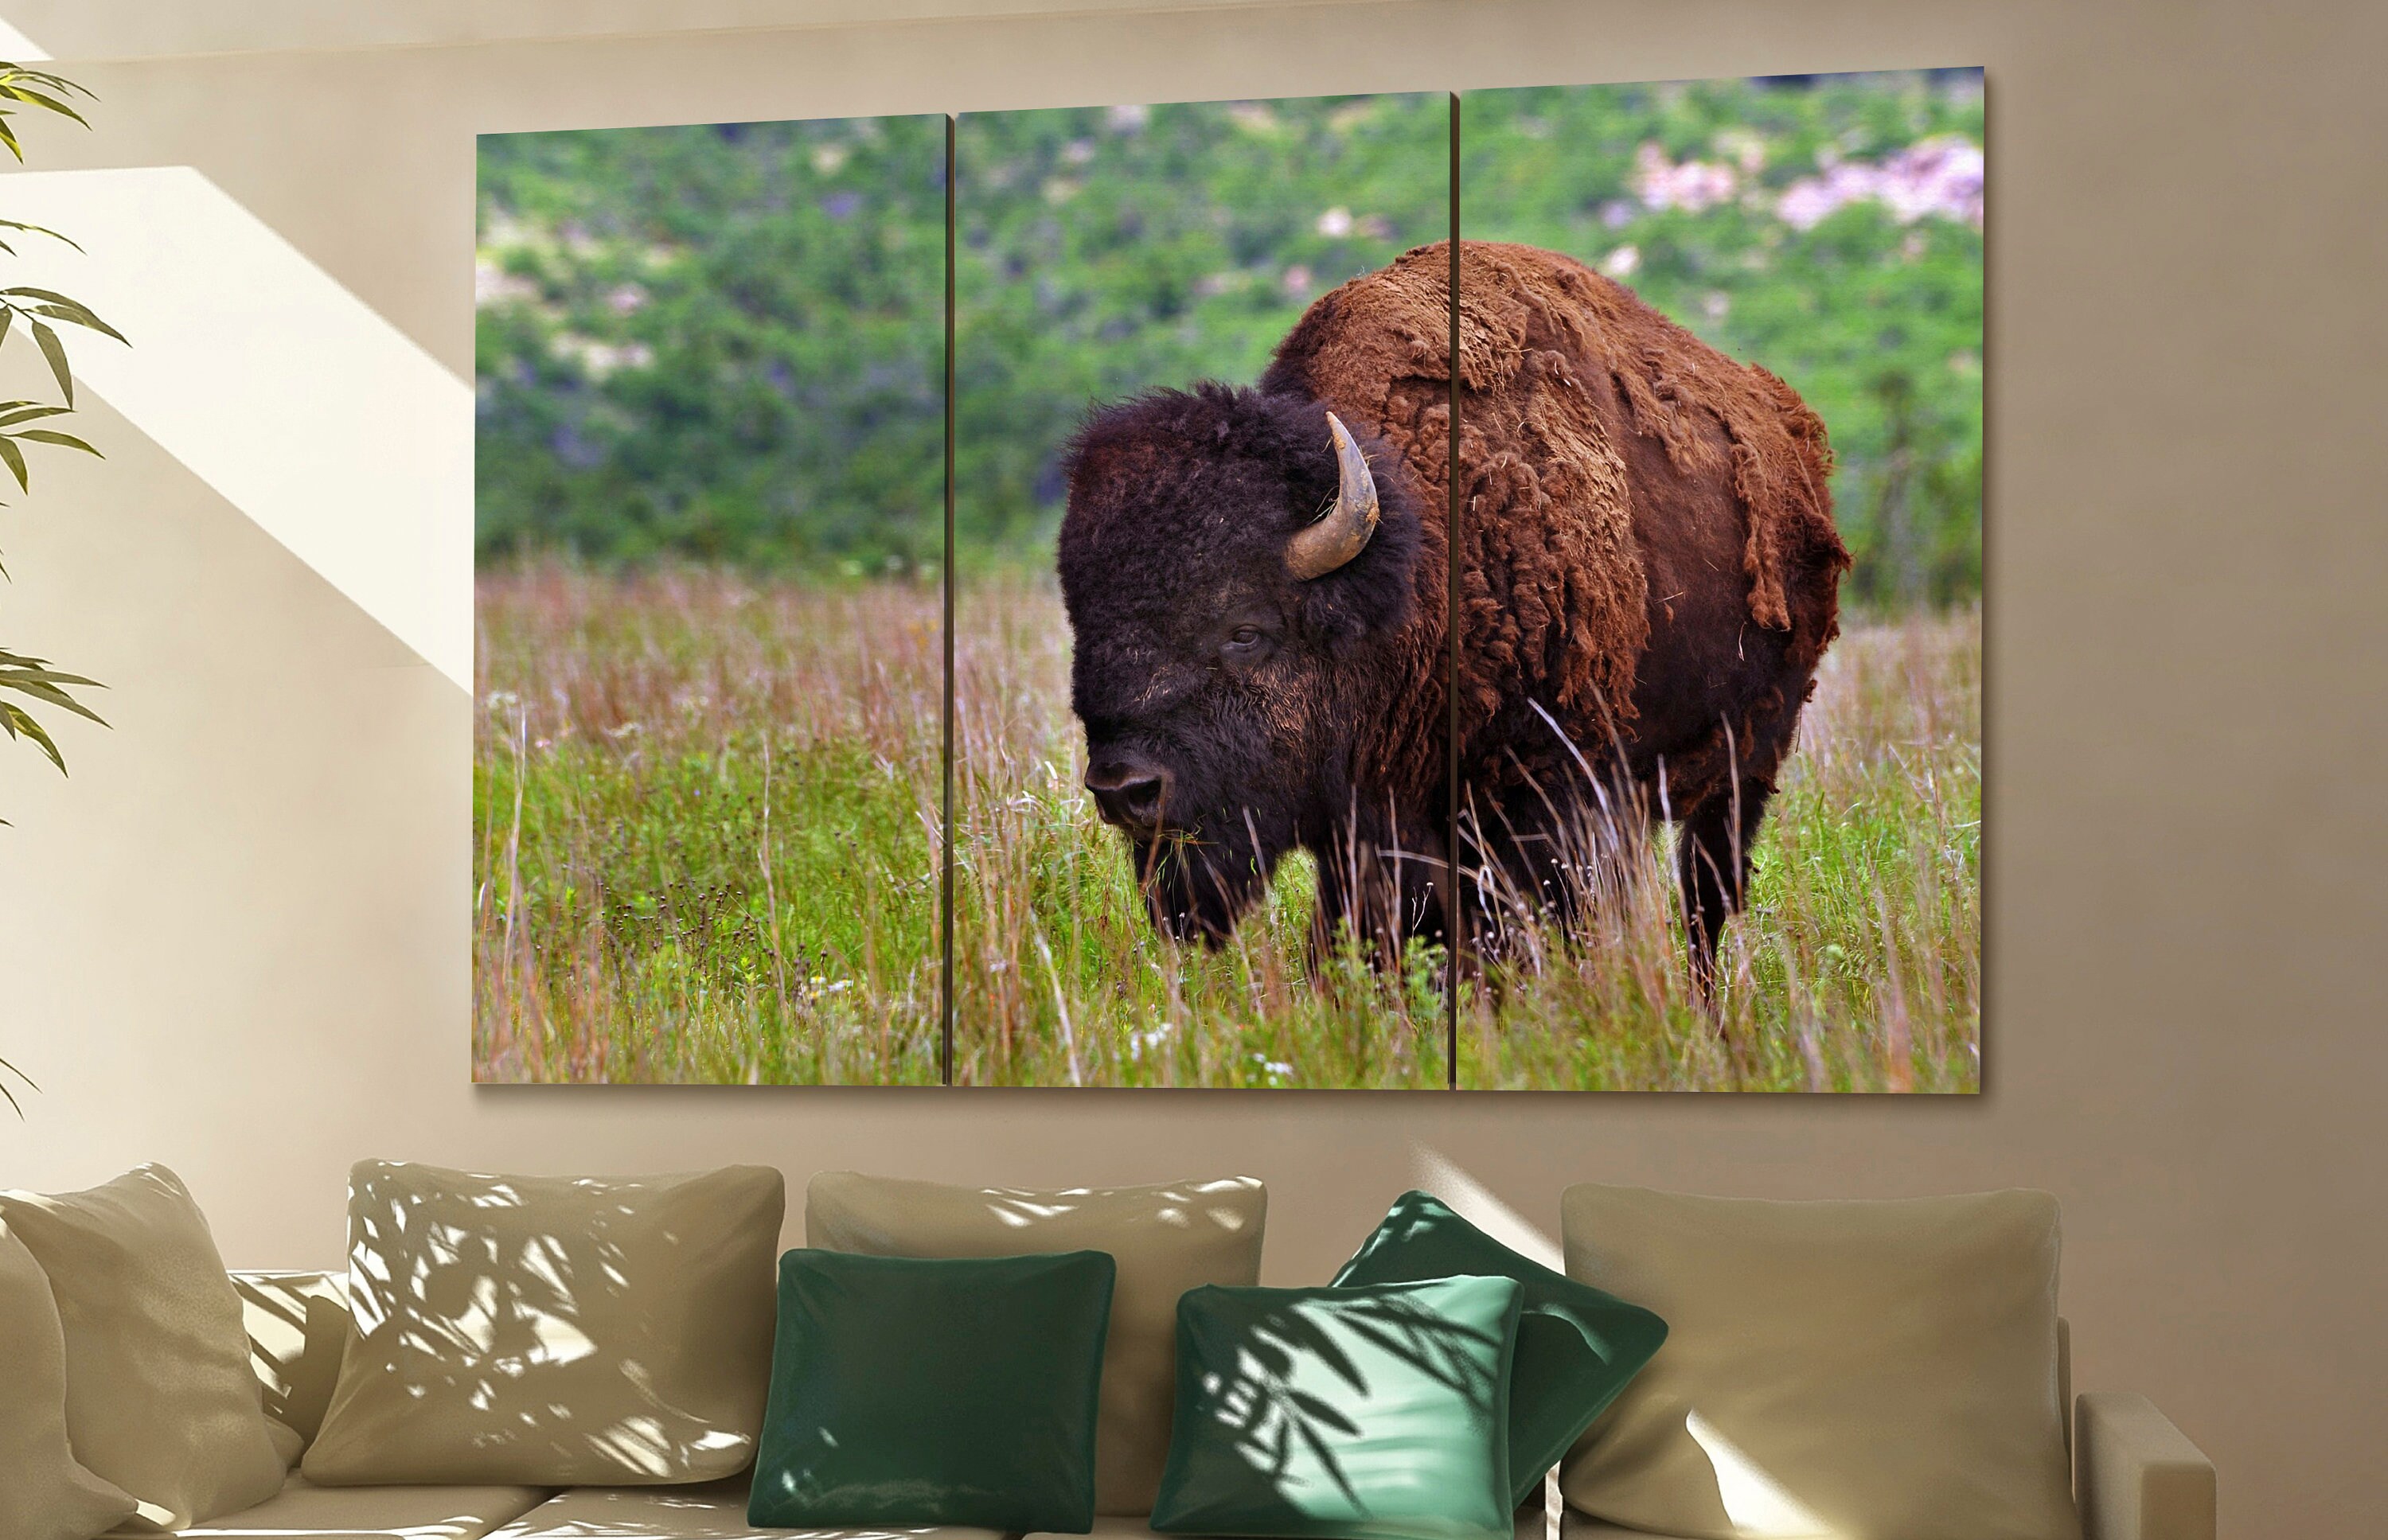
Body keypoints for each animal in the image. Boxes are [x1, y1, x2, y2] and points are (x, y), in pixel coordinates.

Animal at [1057, 240, 1848, 980]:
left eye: (1246, 630)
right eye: (1085, 626)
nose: (1125, 788)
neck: (1417, 567)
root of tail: (1791, 434)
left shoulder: (1545, 798)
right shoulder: (1374, 827)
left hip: (1746, 765)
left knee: (1703, 903)